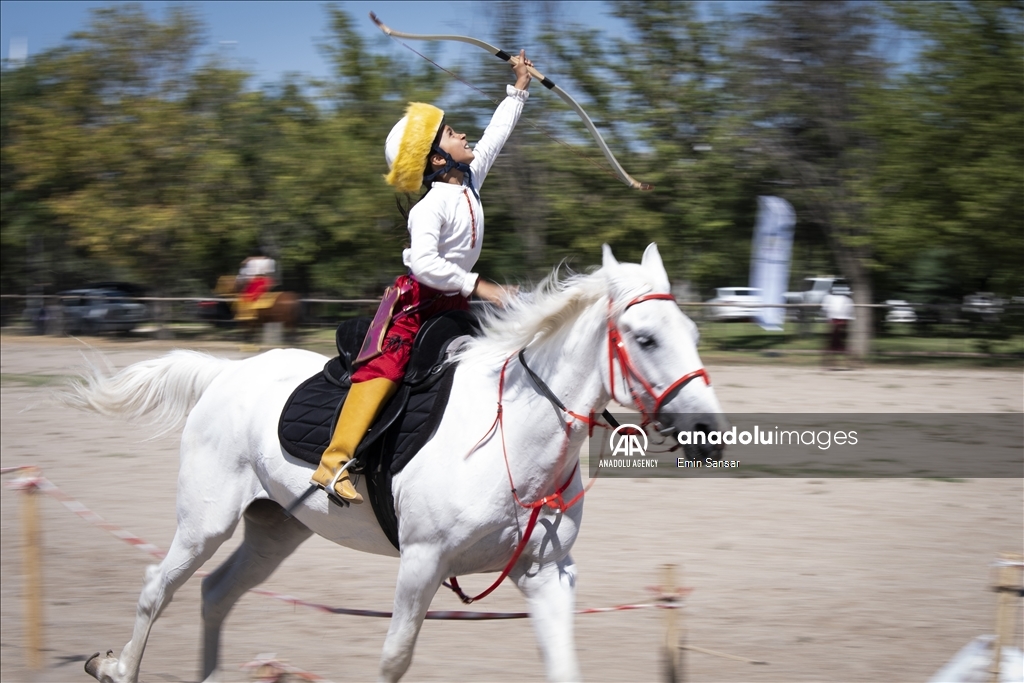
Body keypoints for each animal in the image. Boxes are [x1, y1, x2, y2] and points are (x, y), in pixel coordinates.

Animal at [70, 242, 729, 679]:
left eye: (693, 332)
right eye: (645, 338)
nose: (708, 433)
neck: (510, 438)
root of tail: (225, 375)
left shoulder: (547, 574)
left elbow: (563, 666)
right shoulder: (422, 563)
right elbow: (394, 658)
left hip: (274, 529)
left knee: (216, 593)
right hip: (204, 522)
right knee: (158, 587)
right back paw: (117, 667)